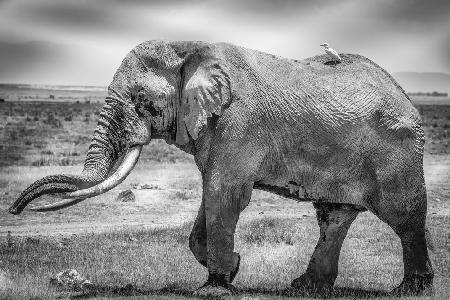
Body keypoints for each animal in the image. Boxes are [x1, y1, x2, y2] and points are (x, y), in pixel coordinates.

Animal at [9, 41, 432, 296]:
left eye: (141, 100)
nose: (14, 209)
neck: (186, 51)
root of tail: (405, 97)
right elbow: (211, 196)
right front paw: (233, 270)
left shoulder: (237, 123)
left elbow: (223, 194)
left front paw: (214, 288)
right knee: (334, 216)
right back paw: (304, 288)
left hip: (398, 152)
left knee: (404, 215)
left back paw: (411, 289)